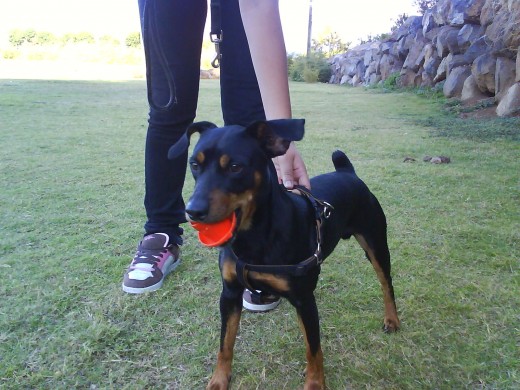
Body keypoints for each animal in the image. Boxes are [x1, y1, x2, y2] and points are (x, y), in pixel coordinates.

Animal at [169, 119, 400, 390]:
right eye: (194, 165)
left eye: (236, 167)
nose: (193, 211)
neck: (255, 235)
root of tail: (348, 172)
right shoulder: (230, 294)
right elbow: (225, 343)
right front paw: (218, 380)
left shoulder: (304, 299)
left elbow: (313, 349)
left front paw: (315, 383)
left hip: (376, 243)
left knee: (386, 283)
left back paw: (392, 319)